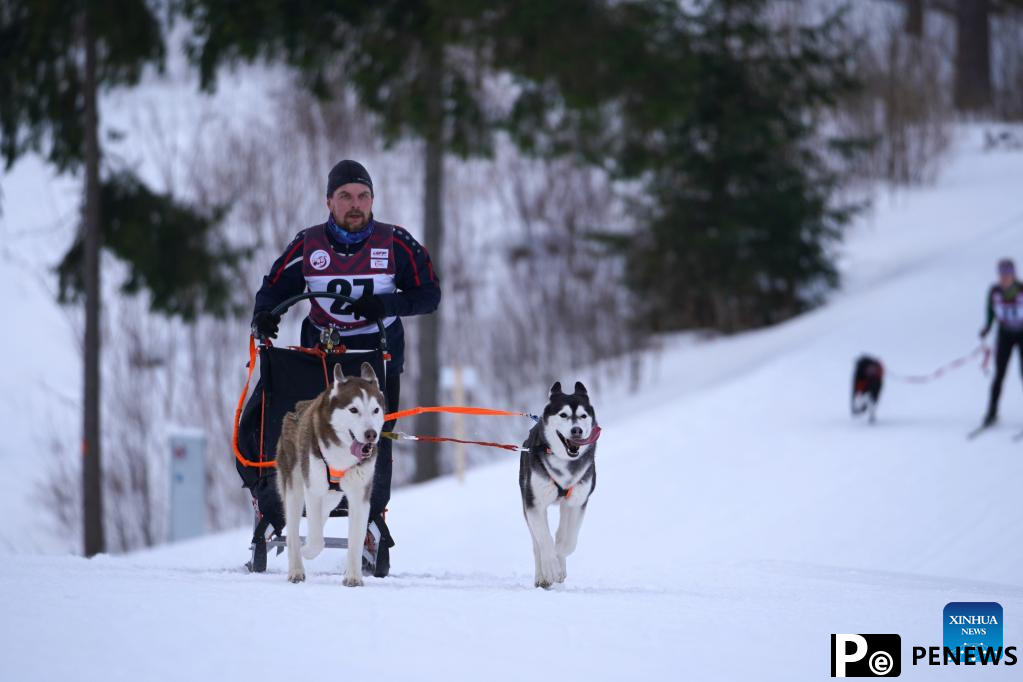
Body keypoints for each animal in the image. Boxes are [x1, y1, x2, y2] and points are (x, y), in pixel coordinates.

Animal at [276, 361, 384, 588]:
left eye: (376, 410)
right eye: (354, 410)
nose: (371, 434)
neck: (342, 455)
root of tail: (296, 409)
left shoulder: (359, 495)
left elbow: (356, 539)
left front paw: (353, 576)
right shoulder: (313, 490)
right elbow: (317, 540)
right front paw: (308, 550)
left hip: (333, 496)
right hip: (295, 486)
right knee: (293, 530)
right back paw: (296, 568)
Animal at [519, 382, 597, 588]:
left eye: (583, 416)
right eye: (563, 415)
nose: (576, 430)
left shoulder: (577, 502)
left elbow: (567, 542)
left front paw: (559, 563)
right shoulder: (534, 504)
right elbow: (544, 540)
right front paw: (551, 568)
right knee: (537, 544)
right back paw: (542, 575)